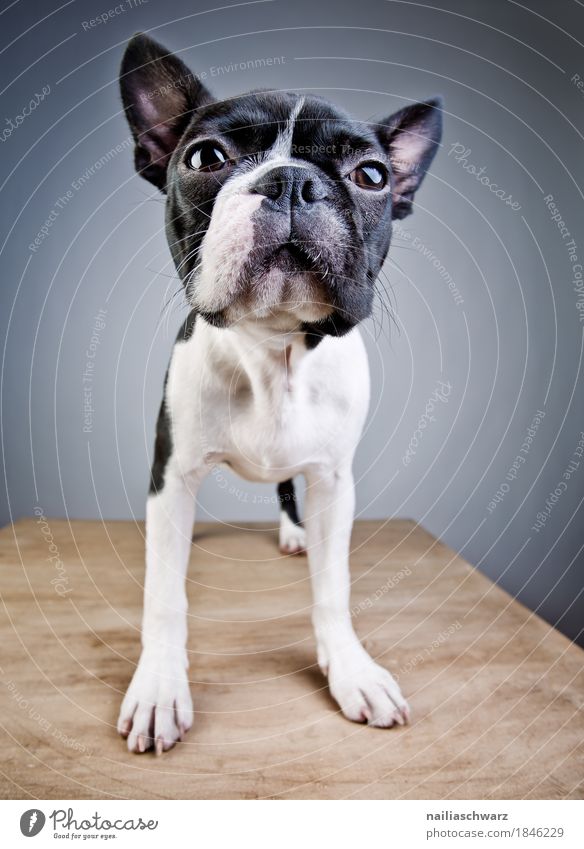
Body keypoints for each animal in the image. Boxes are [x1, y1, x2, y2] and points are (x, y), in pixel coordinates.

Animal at [115, 31, 442, 756]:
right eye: (205, 157)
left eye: (372, 175)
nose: (292, 180)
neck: (274, 351)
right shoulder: (171, 475)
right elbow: (163, 594)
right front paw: (158, 686)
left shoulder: (332, 479)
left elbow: (333, 588)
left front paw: (350, 669)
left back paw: (295, 534)